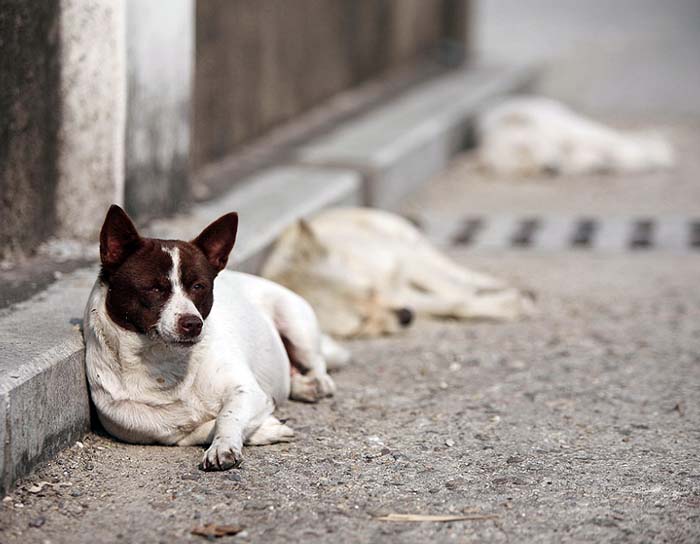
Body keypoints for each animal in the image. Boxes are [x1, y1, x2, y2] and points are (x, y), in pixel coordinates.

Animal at [83, 206, 346, 470]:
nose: (193, 323)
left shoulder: (248, 392)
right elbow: (201, 428)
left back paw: (316, 383)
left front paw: (224, 446)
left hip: (294, 321)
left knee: (318, 365)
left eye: (199, 286)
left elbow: (226, 417)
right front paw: (267, 429)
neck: (165, 365)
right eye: (155, 288)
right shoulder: (158, 431)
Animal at [262, 207, 536, 338]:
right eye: (363, 323)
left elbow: (456, 291)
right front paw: (503, 306)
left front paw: (505, 300)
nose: (405, 316)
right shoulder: (406, 296)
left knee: (455, 272)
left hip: (411, 244)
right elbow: (454, 303)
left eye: (370, 290)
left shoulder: (405, 261)